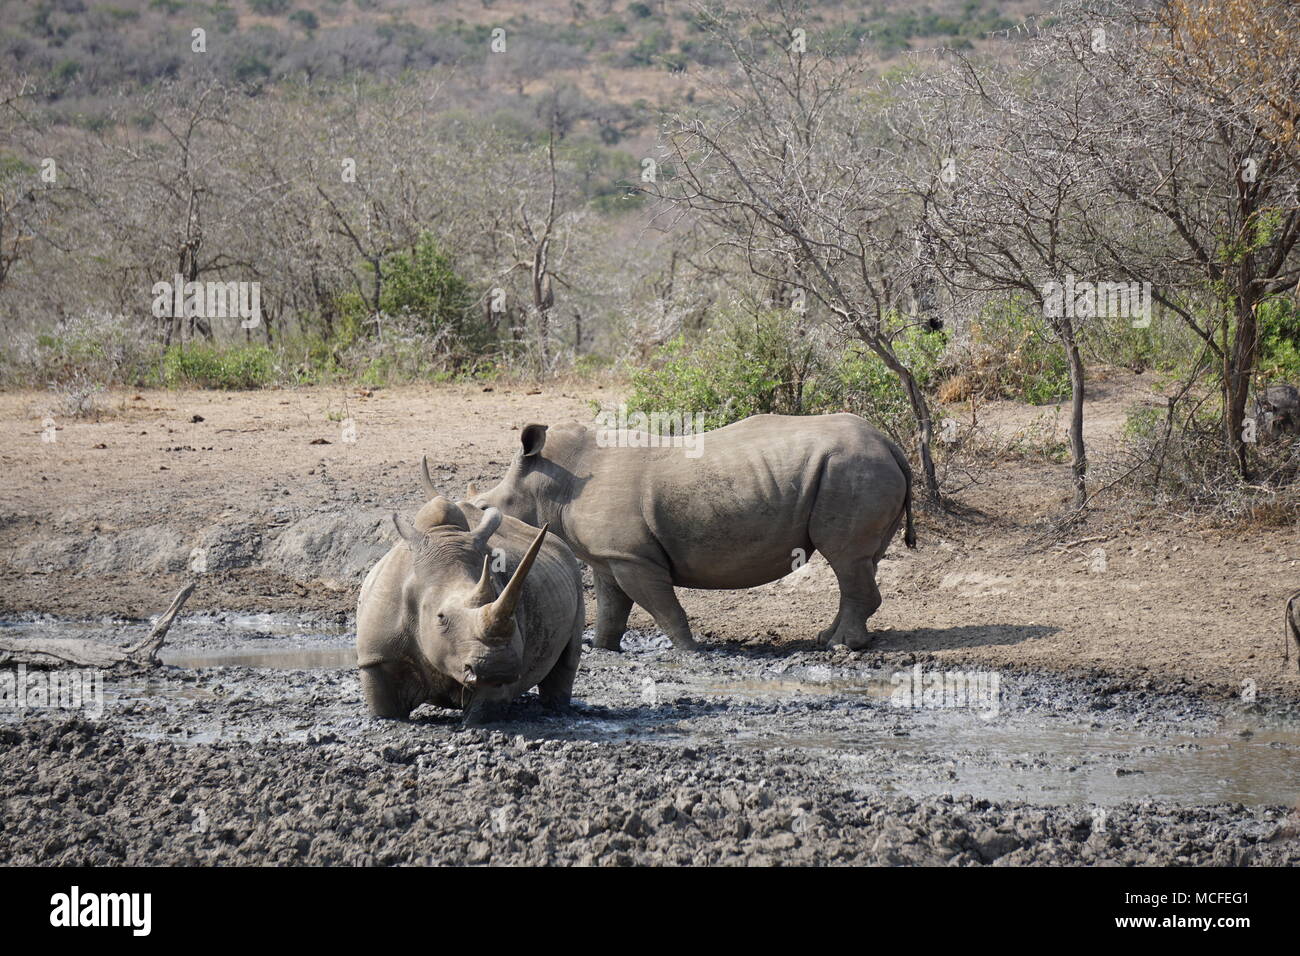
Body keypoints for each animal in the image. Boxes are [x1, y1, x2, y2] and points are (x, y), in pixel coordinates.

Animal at [356, 491, 584, 724]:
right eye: (441, 617)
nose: (497, 667)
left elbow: (483, 709)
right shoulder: (375, 656)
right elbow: (385, 707)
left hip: (574, 574)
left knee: (568, 657)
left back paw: (555, 709)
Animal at [468, 412, 915, 652]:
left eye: (486, 508)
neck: (551, 482)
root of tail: (891, 445)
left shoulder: (632, 557)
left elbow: (663, 607)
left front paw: (689, 650)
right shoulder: (611, 556)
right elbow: (612, 607)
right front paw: (602, 648)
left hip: (851, 468)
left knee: (845, 558)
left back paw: (843, 645)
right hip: (858, 468)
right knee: (859, 562)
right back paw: (828, 638)